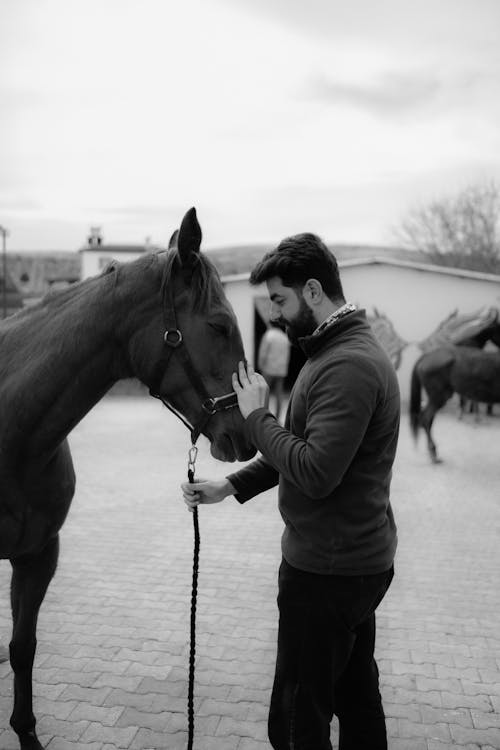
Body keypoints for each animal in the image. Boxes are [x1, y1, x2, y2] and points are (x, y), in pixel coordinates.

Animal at [0, 207, 256, 750]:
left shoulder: (38, 555)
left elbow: (23, 646)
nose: (246, 435)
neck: (12, 433)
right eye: (220, 325)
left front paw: (26, 730)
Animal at [410, 308, 500, 462]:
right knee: (426, 419)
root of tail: (425, 357)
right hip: (439, 396)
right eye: (499, 328)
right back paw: (433, 453)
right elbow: (469, 402)